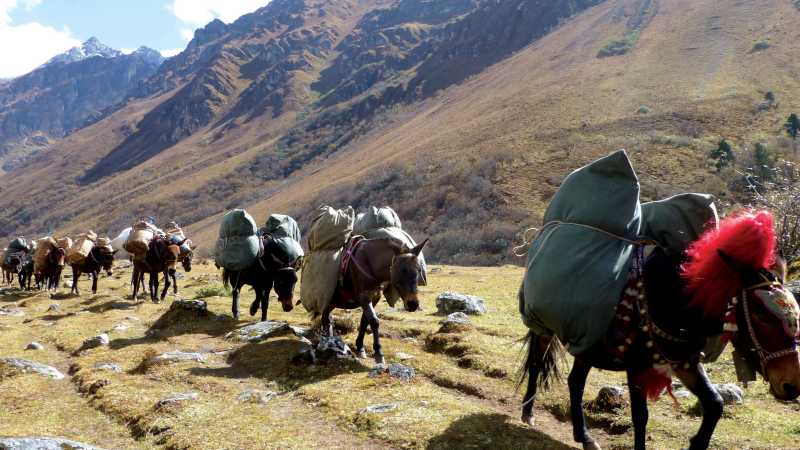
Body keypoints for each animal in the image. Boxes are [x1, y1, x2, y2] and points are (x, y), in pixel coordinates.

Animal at [321, 237, 427, 365]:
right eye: (402, 270)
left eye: (419, 270)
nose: (413, 304)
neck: (370, 264)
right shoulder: (364, 297)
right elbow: (374, 321)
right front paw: (378, 353)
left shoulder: (375, 297)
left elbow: (365, 321)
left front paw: (360, 347)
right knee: (325, 318)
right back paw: (327, 341)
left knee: (326, 317)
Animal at [518, 211, 800, 450]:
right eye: (761, 313)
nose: (791, 384)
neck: (671, 300)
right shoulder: (636, 366)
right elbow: (640, 416)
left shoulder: (684, 361)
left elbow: (715, 404)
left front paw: (696, 444)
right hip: (544, 327)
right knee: (537, 363)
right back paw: (528, 413)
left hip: (587, 342)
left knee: (575, 381)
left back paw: (585, 437)